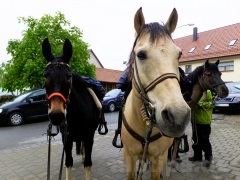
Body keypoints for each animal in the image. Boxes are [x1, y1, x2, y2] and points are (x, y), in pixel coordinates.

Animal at [42, 38, 106, 180]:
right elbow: (68, 162)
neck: (77, 115)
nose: (56, 115)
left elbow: (88, 163)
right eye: (45, 76)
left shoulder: (89, 137)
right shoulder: (67, 139)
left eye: (69, 76)